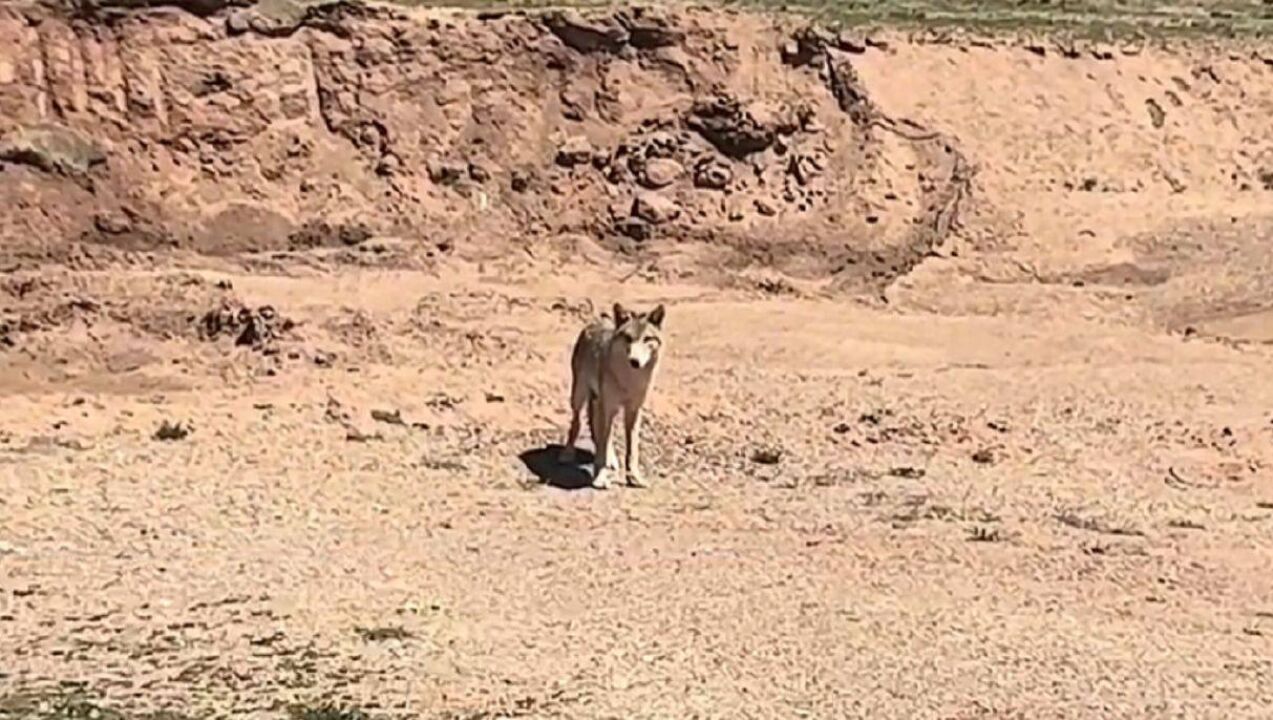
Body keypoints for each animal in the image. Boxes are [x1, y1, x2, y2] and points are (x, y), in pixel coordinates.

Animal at [562, 298, 672, 491]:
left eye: (647, 339)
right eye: (628, 338)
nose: (634, 361)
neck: (629, 379)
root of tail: (597, 320)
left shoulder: (633, 410)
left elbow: (632, 450)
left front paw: (634, 478)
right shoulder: (608, 406)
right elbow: (602, 447)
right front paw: (600, 478)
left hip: (601, 405)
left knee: (600, 432)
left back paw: (612, 460)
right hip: (580, 396)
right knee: (577, 424)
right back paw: (568, 453)